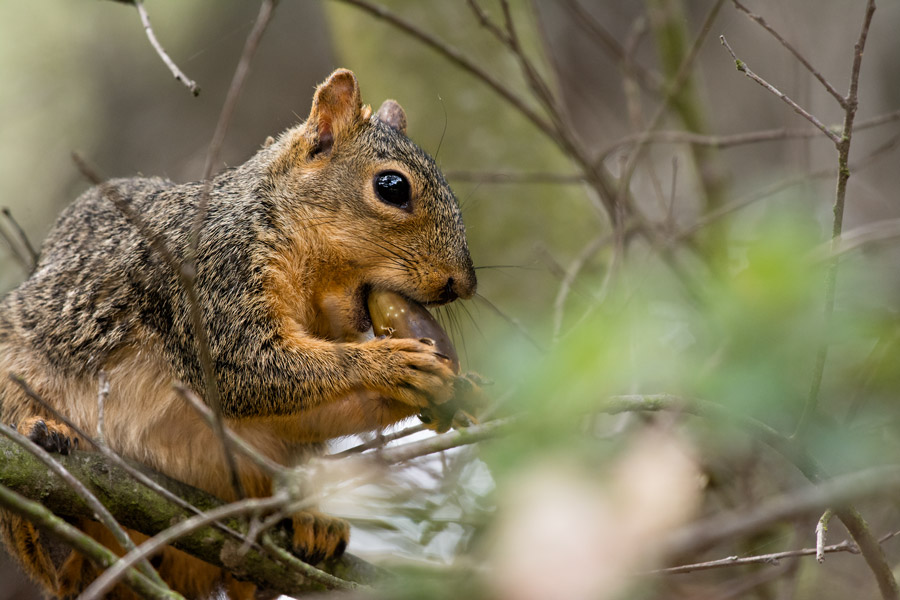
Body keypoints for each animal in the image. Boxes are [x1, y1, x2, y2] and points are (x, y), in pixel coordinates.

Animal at [0, 68, 476, 599]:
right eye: (391, 186)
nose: (463, 284)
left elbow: (296, 412)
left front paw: (455, 389)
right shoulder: (210, 276)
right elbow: (243, 369)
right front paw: (392, 364)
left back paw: (307, 525)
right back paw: (47, 457)